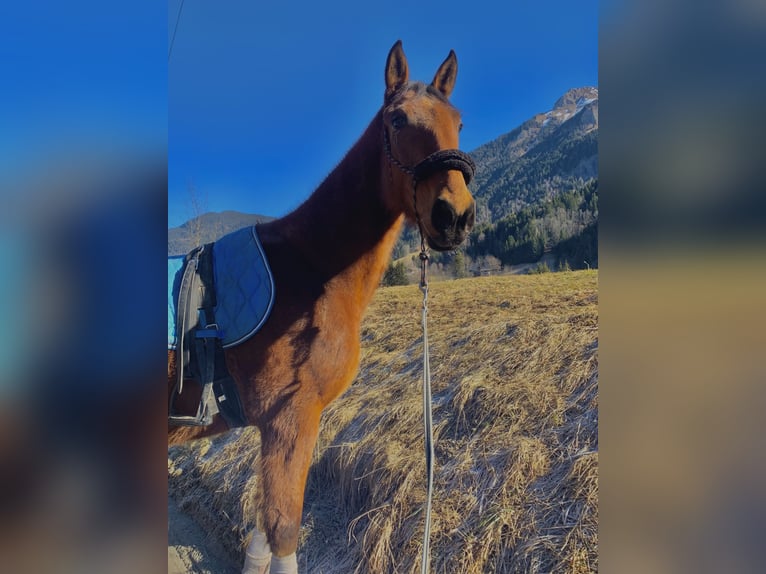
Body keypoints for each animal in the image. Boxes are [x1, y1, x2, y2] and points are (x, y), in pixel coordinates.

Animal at [168, 40, 476, 574]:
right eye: (397, 120)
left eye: (458, 121)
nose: (454, 216)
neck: (310, 267)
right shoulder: (289, 421)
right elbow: (284, 532)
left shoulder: (280, 430)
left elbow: (263, 532)